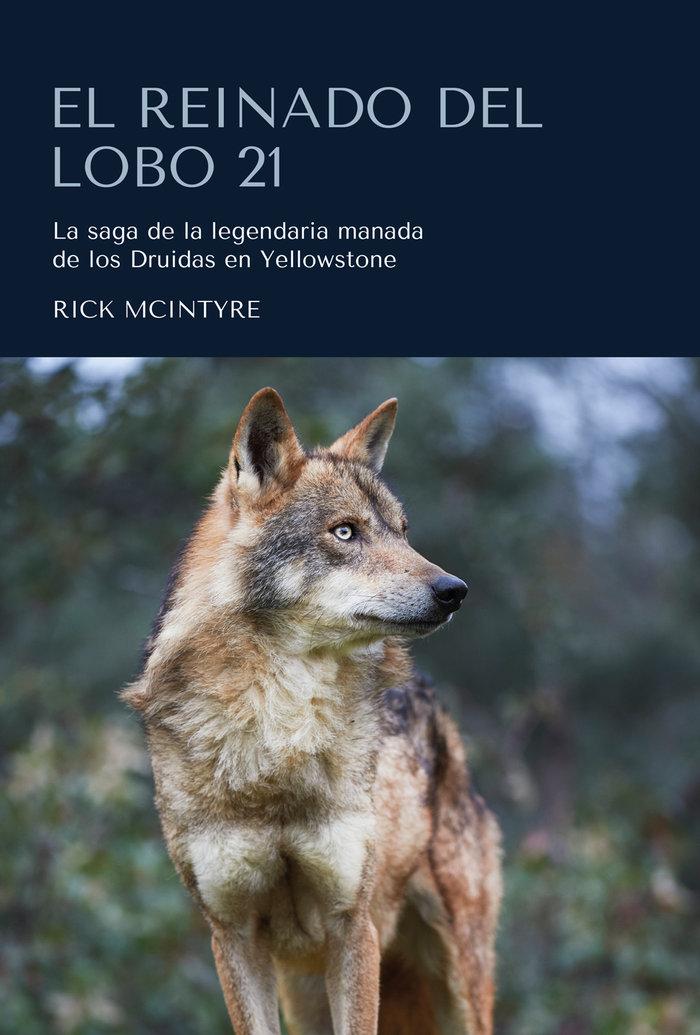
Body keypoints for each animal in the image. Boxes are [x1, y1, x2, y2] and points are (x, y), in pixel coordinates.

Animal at [123, 388, 501, 1035]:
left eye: (403, 533)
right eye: (345, 532)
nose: (455, 590)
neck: (279, 732)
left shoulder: (353, 927)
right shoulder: (233, 935)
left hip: (458, 984)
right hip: (303, 990)